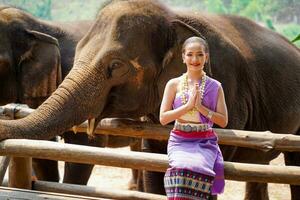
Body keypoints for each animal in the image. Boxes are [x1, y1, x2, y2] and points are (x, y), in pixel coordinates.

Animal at [0, 0, 298, 198]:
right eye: (78, 53)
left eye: (115, 65)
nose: (6, 114)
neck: (174, 18)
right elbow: (153, 159)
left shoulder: (227, 88)